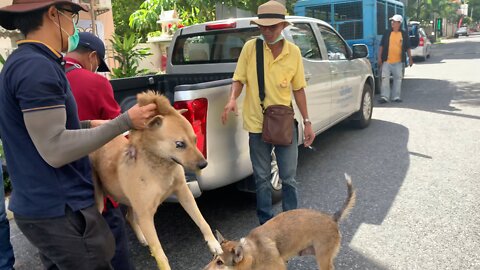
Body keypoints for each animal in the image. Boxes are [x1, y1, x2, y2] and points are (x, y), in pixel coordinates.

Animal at [90, 91, 221, 270]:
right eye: (179, 144)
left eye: (195, 139)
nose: (204, 164)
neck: (159, 166)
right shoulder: (146, 216)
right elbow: (160, 254)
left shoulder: (184, 192)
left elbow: (202, 220)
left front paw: (214, 243)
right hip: (102, 200)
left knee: (129, 217)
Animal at [202, 174, 356, 268]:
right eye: (212, 256)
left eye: (220, 262)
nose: (203, 269)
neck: (252, 251)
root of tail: (331, 218)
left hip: (323, 259)